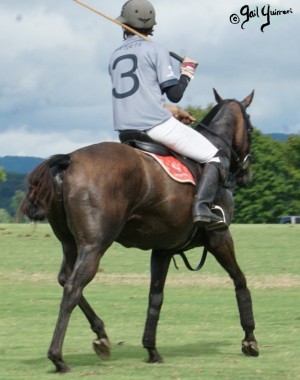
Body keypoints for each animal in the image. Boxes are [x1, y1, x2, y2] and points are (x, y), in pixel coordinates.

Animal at [21, 88, 258, 372]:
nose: (246, 173)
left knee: (64, 278)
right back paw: (58, 357)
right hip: (94, 245)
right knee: (73, 288)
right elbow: (240, 281)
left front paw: (151, 349)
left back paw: (101, 336)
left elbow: (155, 297)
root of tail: (70, 160)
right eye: (251, 128)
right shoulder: (220, 237)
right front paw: (250, 340)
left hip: (70, 244)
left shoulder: (163, 249)